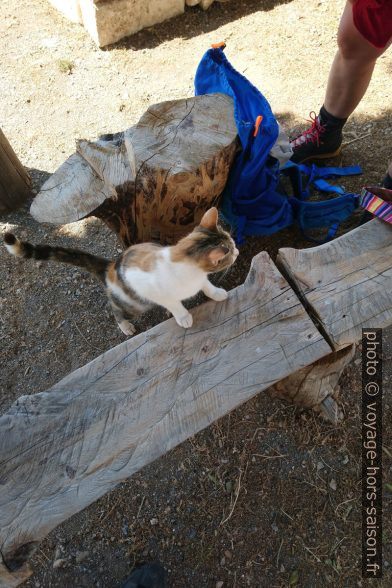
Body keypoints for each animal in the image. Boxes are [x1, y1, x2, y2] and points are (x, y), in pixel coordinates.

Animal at [3, 208, 239, 336]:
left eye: (234, 243)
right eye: (231, 251)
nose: (237, 251)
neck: (189, 273)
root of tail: (111, 266)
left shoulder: (201, 278)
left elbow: (207, 286)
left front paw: (217, 293)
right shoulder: (157, 292)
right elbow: (174, 304)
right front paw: (183, 316)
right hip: (134, 303)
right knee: (115, 309)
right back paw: (124, 325)